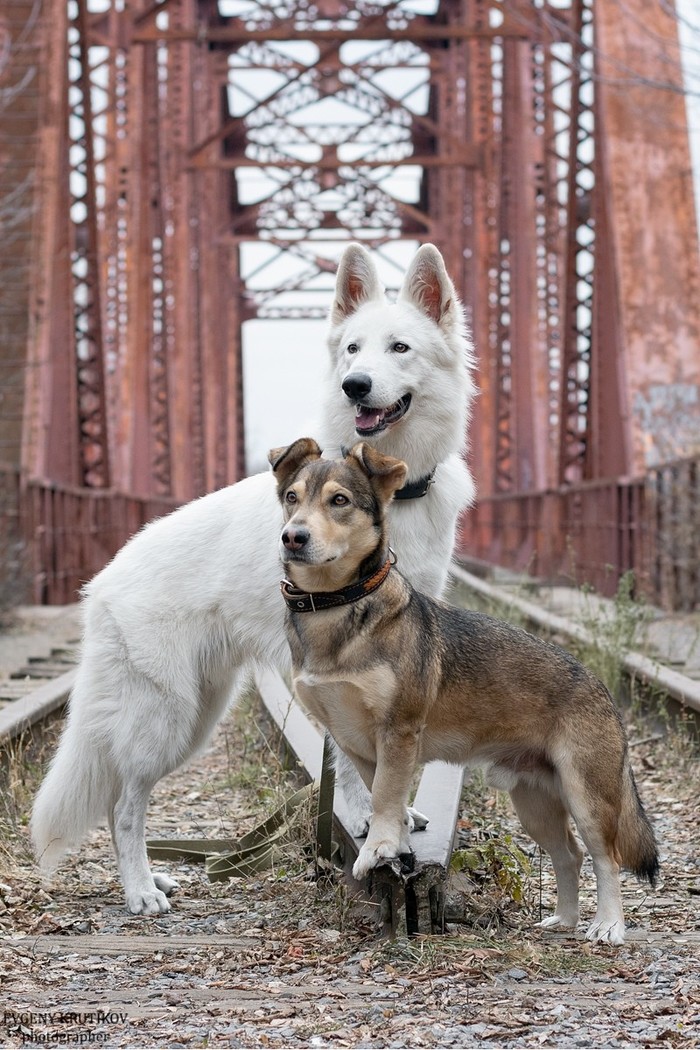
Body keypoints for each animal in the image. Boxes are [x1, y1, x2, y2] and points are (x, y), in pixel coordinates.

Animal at [28, 241, 476, 915]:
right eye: (352, 348)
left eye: (398, 347)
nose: (354, 385)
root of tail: (101, 584)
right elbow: (349, 762)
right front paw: (368, 823)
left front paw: (394, 815)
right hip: (163, 717)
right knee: (125, 806)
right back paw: (140, 892)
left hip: (197, 714)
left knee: (118, 800)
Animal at [270, 434, 659, 944]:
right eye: (291, 498)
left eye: (339, 501)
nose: (293, 536)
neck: (339, 605)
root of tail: (598, 684)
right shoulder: (357, 743)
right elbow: (384, 796)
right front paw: (394, 845)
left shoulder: (398, 732)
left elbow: (386, 796)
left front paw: (377, 850)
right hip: (534, 801)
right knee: (568, 855)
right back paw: (565, 918)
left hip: (587, 793)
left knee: (605, 857)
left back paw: (608, 924)